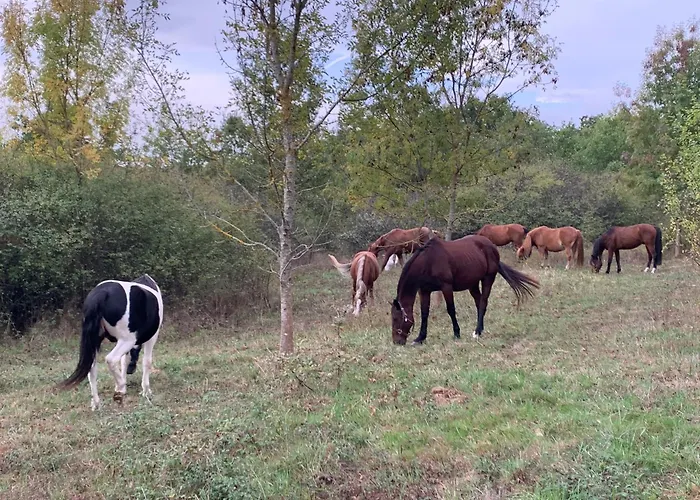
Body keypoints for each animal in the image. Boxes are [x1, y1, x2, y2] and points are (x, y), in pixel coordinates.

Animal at [58, 274, 164, 410]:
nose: (131, 370)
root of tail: (101, 293)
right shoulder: (151, 338)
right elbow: (147, 362)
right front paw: (146, 391)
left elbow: (124, 361)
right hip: (127, 340)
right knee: (111, 359)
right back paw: (120, 387)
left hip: (96, 341)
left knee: (92, 369)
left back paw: (97, 403)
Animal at [390, 235, 540, 345]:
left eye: (396, 318)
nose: (397, 342)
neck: (428, 261)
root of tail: (490, 245)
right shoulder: (424, 291)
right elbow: (424, 313)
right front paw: (420, 338)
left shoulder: (446, 287)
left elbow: (451, 310)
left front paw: (456, 333)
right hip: (472, 284)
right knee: (479, 303)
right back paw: (479, 330)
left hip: (488, 279)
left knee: (483, 302)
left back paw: (477, 331)